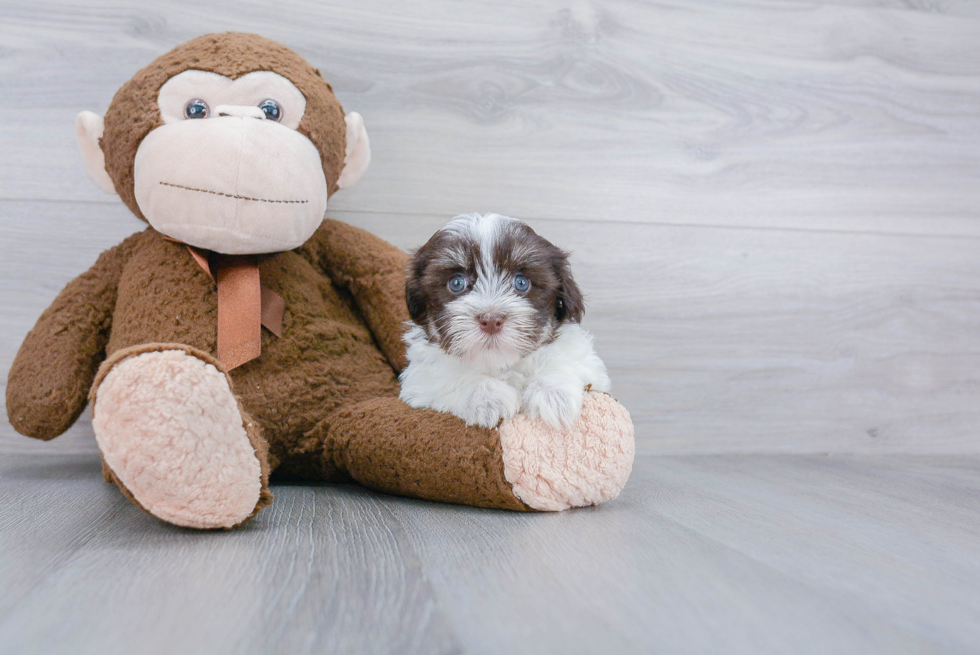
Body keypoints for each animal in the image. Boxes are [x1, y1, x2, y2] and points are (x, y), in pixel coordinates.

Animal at [396, 211, 608, 430]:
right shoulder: (422, 379)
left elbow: (562, 359)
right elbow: (449, 375)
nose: (491, 320)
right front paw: (487, 397)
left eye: (521, 283)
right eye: (457, 283)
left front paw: (554, 394)